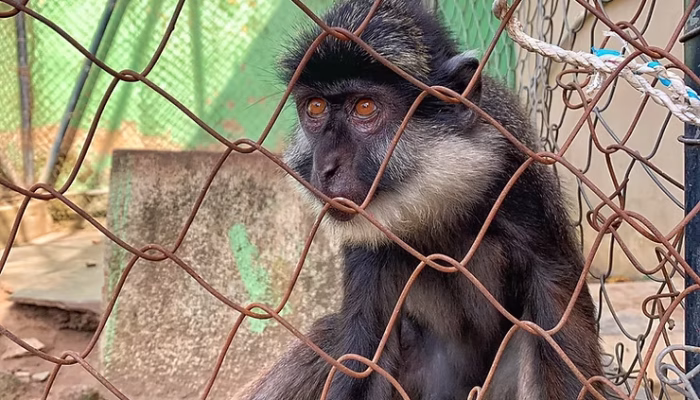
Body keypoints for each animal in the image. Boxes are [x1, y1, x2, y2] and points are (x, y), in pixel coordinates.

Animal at [239, 0, 605, 399]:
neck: (435, 196)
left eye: (364, 107)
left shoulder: (518, 179)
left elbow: (554, 315)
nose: (325, 167)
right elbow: (362, 355)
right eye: (316, 107)